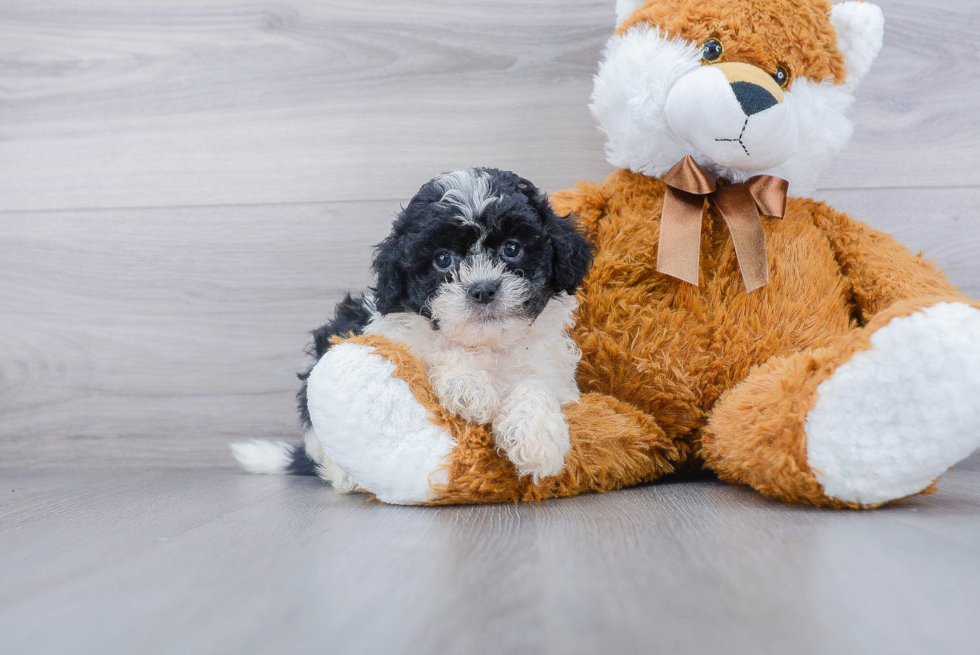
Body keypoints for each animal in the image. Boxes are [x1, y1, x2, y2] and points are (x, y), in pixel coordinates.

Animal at [234, 169, 592, 486]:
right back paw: (345, 476)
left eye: (512, 249)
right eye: (443, 259)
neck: (486, 345)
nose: (483, 289)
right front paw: (469, 385)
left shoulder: (552, 368)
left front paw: (536, 440)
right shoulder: (388, 332)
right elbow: (436, 349)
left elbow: (536, 384)